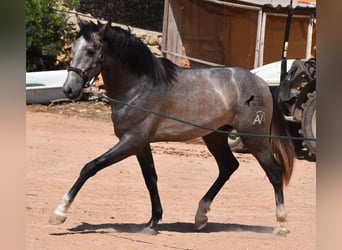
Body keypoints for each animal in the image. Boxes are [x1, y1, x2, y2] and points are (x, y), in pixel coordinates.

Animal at [49, 15, 296, 234]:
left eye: (91, 51)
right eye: (73, 48)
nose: (69, 89)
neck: (140, 86)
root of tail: (261, 83)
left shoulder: (131, 141)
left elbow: (90, 167)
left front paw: (59, 213)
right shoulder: (140, 145)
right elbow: (151, 179)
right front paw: (152, 222)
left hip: (254, 139)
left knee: (274, 172)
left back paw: (281, 225)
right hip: (215, 136)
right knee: (228, 167)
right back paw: (201, 216)